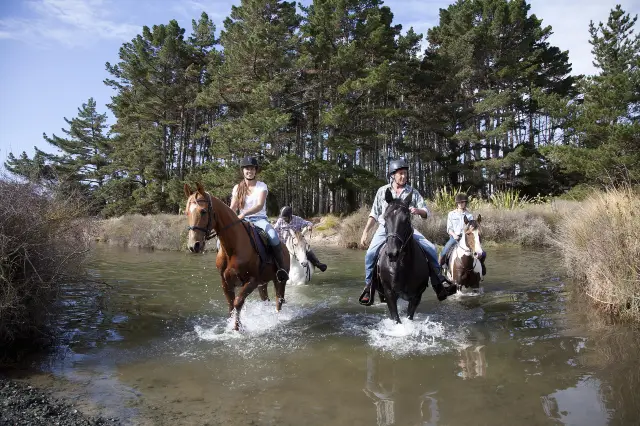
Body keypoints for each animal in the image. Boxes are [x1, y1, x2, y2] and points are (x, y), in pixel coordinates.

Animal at [184, 182, 290, 330]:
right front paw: (230, 327)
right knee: (266, 300)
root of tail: (285, 247)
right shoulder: (226, 282)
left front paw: (237, 328)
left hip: (279, 281)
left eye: (203, 211)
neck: (233, 247)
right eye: (186, 212)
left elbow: (238, 302)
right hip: (263, 284)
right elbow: (230, 305)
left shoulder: (252, 281)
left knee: (278, 301)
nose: (194, 245)